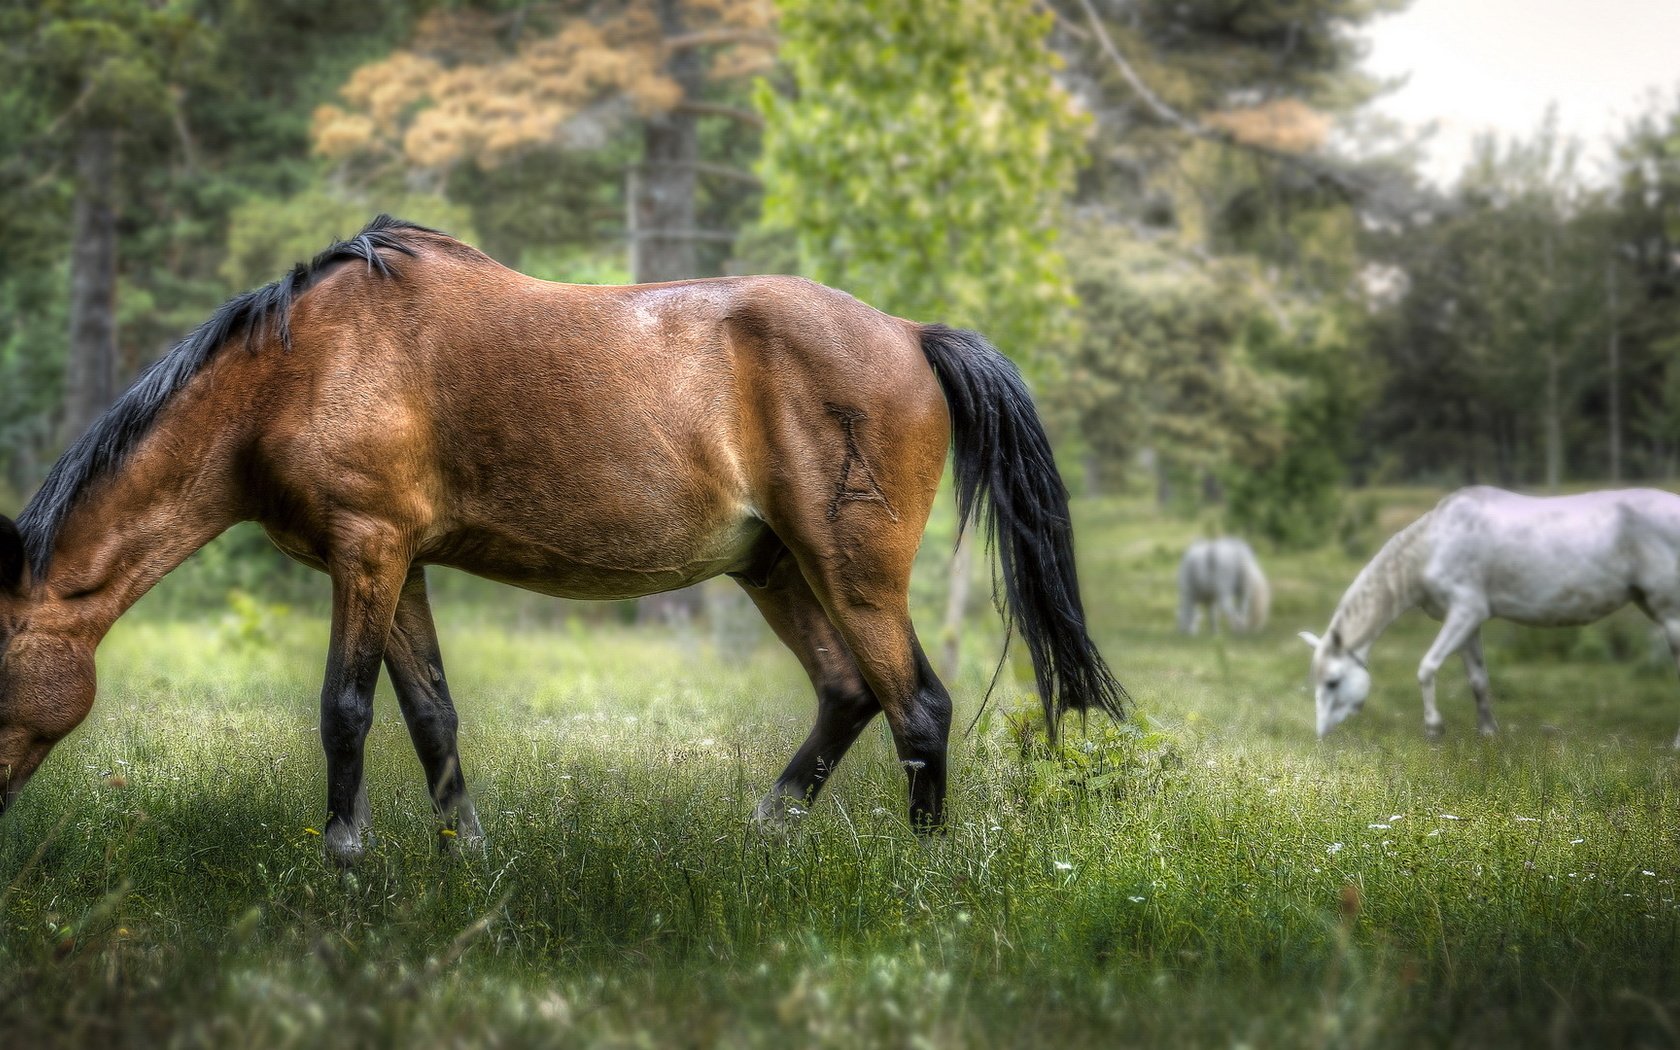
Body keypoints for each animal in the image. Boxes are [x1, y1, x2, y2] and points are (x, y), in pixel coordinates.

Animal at [3, 216, 1128, 866]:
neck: (295, 367)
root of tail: (911, 335)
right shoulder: (394, 564)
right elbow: (432, 717)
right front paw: (465, 860)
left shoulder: (366, 551)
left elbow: (345, 712)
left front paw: (344, 866)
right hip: (774, 568)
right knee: (850, 695)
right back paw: (762, 837)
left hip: (852, 572)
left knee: (919, 709)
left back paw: (922, 884)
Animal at [1303, 487, 1680, 742]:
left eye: (1333, 681)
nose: (1320, 734)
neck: (1432, 545)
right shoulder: (1468, 624)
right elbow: (1478, 680)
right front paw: (1488, 734)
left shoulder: (1465, 612)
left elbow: (1427, 668)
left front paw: (1434, 728)